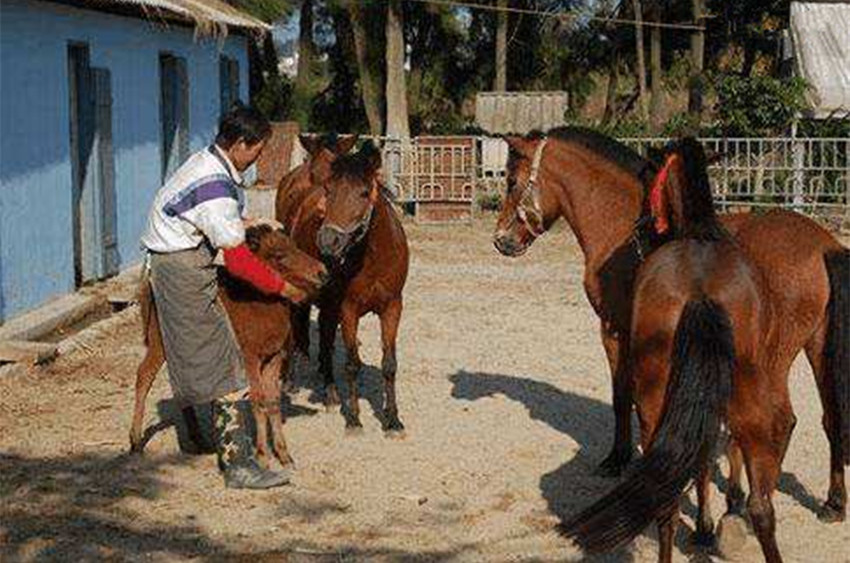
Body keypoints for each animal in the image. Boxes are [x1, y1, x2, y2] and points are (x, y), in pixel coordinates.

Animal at [129, 227, 328, 470]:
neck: (258, 306)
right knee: (144, 376)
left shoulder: (274, 357)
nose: (322, 272)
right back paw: (135, 441)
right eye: (279, 255)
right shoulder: (250, 359)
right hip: (159, 344)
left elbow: (273, 402)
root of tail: (149, 286)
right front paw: (262, 456)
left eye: (295, 246)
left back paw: (199, 441)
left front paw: (283, 454)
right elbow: (258, 400)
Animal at [278, 143, 408, 434]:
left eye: (364, 192)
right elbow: (352, 364)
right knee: (295, 332)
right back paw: (291, 381)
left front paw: (393, 419)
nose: (329, 240)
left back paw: (330, 392)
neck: (373, 258)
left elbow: (389, 364)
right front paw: (354, 419)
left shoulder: (392, 307)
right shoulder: (348, 309)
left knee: (325, 340)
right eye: (330, 191)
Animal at [494, 126, 848, 520]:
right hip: (817, 347)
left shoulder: (614, 331)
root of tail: (824, 244)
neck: (624, 226)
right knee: (830, 418)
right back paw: (829, 502)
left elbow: (622, 395)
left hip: (773, 359)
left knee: (781, 422)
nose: (502, 240)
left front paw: (617, 459)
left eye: (511, 181)